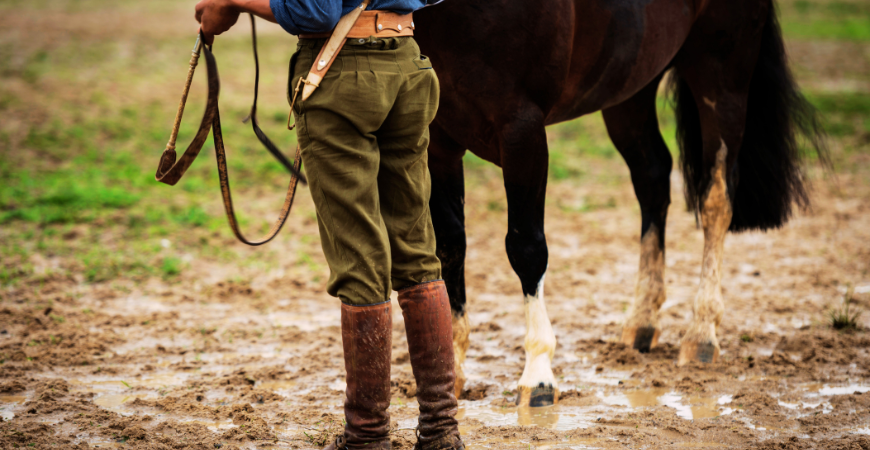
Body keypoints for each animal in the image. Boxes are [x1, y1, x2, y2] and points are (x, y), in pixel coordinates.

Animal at [413, 0, 824, 407]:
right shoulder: (438, 140)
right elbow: (449, 246)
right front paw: (452, 372)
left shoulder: (521, 129)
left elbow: (526, 248)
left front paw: (539, 375)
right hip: (632, 88)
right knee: (653, 178)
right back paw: (642, 321)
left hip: (721, 74)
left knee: (716, 199)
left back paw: (702, 333)